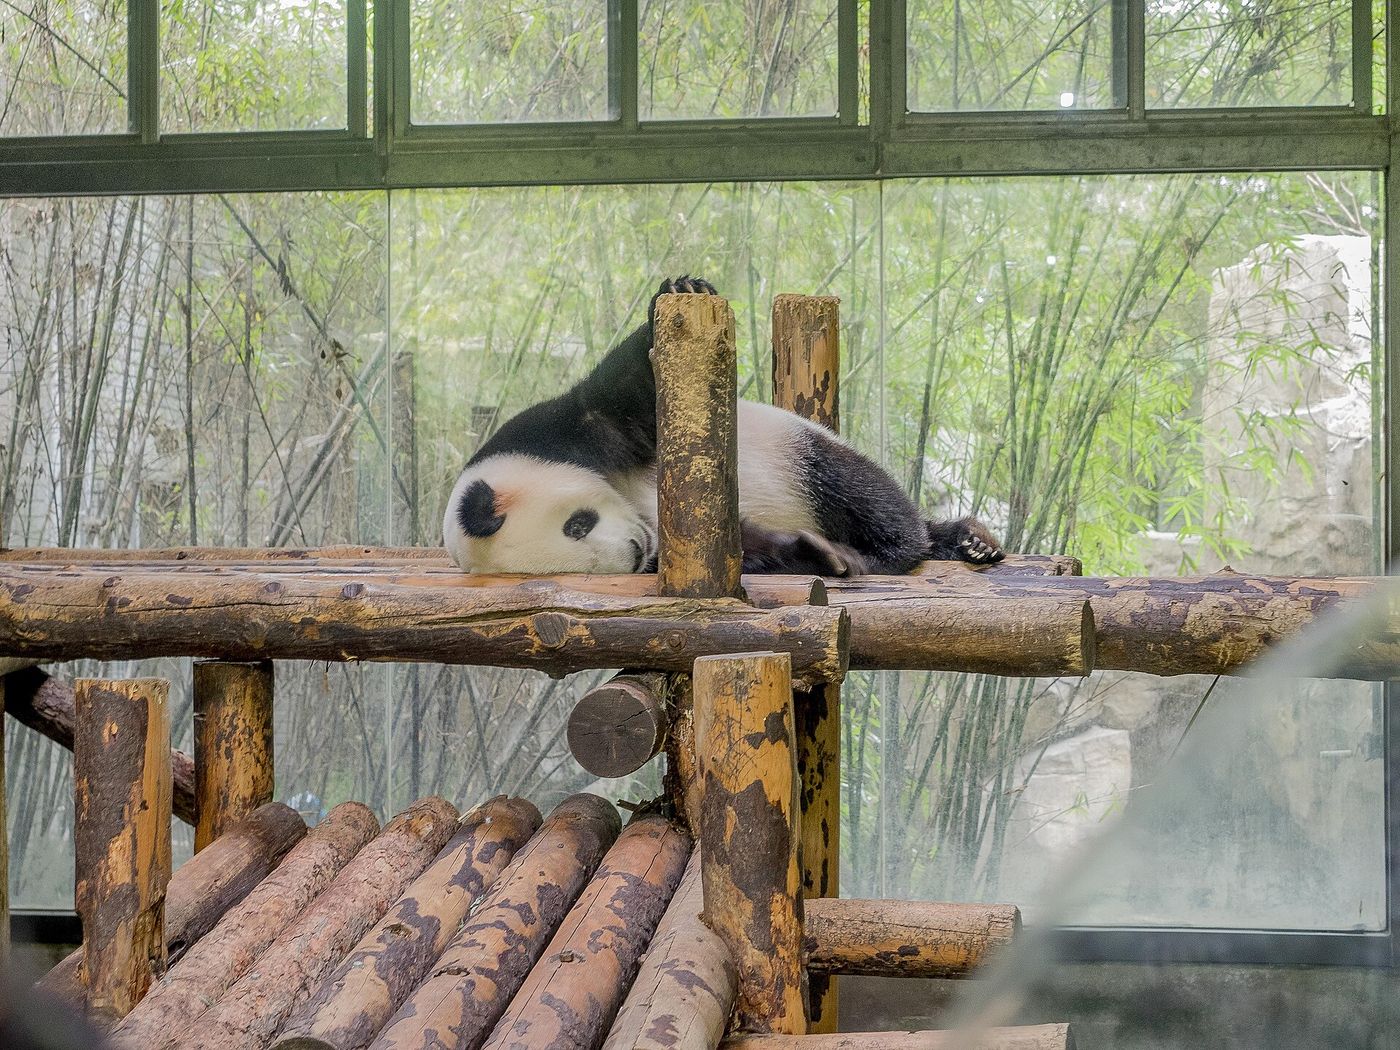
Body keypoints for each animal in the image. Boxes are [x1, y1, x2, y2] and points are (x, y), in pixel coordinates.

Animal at [443, 277, 1003, 577]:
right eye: (584, 567)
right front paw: (814, 553)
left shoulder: (561, 430)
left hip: (797, 449)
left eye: (577, 525)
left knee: (857, 489)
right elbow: (741, 543)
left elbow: (626, 391)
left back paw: (920, 546)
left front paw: (679, 289)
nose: (635, 552)